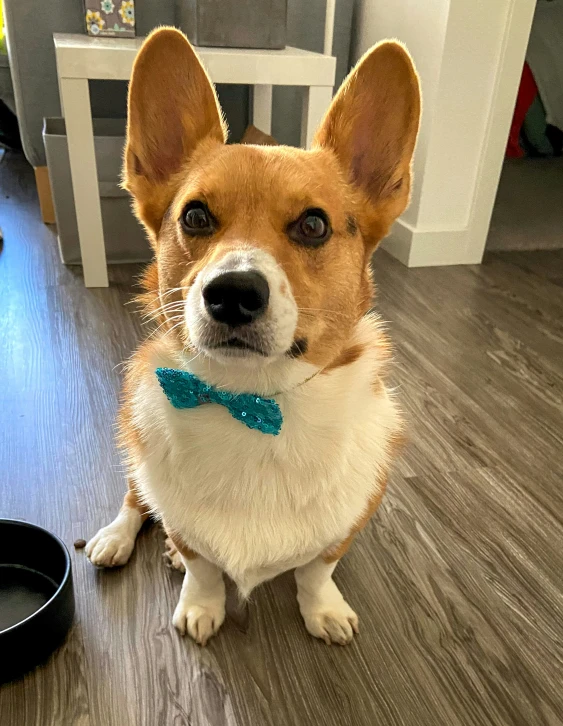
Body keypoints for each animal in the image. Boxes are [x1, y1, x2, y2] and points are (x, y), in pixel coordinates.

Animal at [86, 27, 420, 648]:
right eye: (194, 217)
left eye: (313, 224)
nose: (233, 293)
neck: (251, 401)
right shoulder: (179, 514)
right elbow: (200, 566)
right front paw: (200, 606)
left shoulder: (346, 524)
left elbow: (316, 570)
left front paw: (323, 611)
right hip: (136, 463)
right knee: (134, 499)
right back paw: (116, 538)